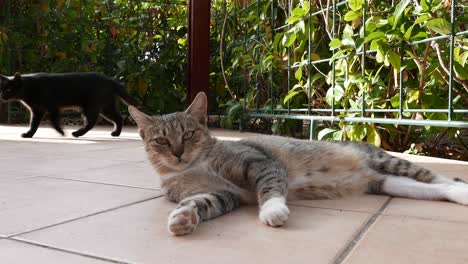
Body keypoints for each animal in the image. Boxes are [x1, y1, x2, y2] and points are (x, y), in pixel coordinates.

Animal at [0, 72, 138, 138]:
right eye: (2, 88)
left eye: (9, 90)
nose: (1, 96)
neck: (30, 87)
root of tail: (111, 80)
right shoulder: (37, 111)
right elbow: (33, 124)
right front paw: (29, 134)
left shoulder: (53, 107)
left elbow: (54, 122)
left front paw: (62, 132)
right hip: (106, 107)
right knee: (118, 118)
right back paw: (116, 133)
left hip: (91, 107)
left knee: (92, 122)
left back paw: (77, 133)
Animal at [129, 92, 468, 235]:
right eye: (161, 140)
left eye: (187, 134)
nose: (177, 153)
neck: (195, 167)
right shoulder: (224, 195)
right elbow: (205, 201)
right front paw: (183, 218)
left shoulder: (260, 163)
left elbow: (270, 187)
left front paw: (273, 210)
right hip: (389, 184)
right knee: (433, 189)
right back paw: (458, 194)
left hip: (387, 161)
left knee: (436, 177)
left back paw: (461, 187)